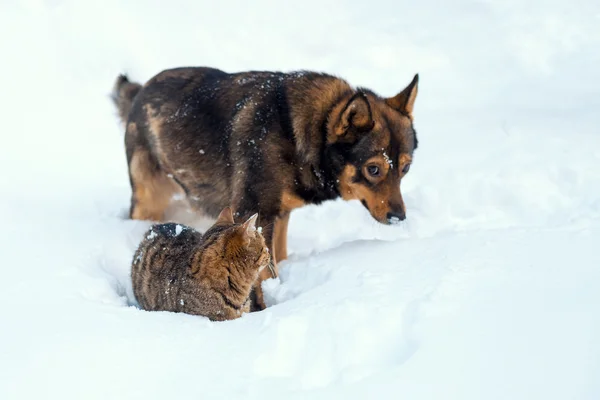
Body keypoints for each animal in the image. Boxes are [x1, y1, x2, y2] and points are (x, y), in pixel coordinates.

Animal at [115, 67, 420, 308]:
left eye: (406, 168)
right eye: (373, 169)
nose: (399, 217)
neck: (303, 132)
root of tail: (142, 88)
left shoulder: (279, 215)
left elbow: (277, 259)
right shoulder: (256, 214)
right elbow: (263, 274)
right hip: (148, 198)